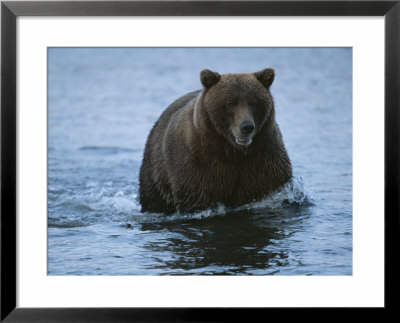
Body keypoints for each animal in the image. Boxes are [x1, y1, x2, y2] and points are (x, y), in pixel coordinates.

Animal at [139, 68, 292, 214]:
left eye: (253, 102)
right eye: (231, 103)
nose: (247, 127)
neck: (232, 150)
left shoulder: (263, 160)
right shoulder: (197, 164)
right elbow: (197, 196)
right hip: (155, 172)